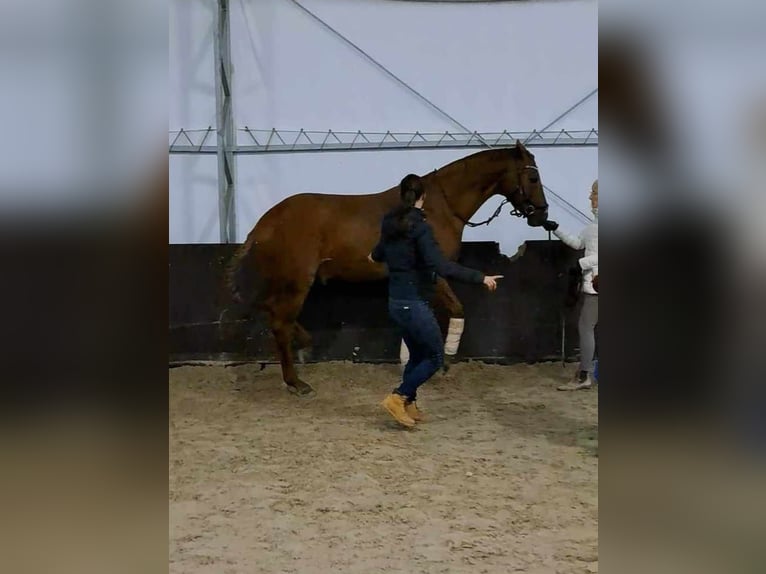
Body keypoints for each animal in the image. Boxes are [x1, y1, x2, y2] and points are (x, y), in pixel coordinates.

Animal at [225, 142, 548, 398]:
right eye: (532, 176)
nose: (542, 215)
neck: (438, 208)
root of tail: (268, 220)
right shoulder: (434, 272)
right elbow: (456, 309)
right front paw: (445, 360)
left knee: (272, 313)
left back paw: (303, 347)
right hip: (297, 281)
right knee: (280, 321)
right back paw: (296, 382)